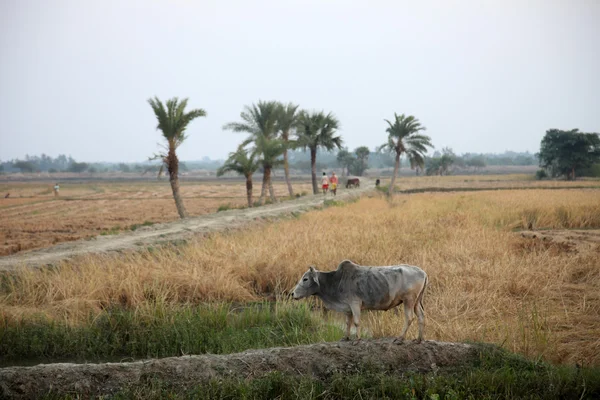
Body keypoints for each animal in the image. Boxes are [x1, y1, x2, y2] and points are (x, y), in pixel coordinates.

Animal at [292, 260, 428, 342]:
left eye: (305, 279)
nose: (293, 293)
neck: (336, 281)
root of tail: (423, 272)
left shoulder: (355, 304)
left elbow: (356, 322)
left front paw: (357, 339)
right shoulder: (347, 308)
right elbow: (348, 323)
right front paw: (346, 338)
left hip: (408, 300)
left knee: (409, 318)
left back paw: (400, 338)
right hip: (416, 302)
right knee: (421, 317)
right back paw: (419, 339)